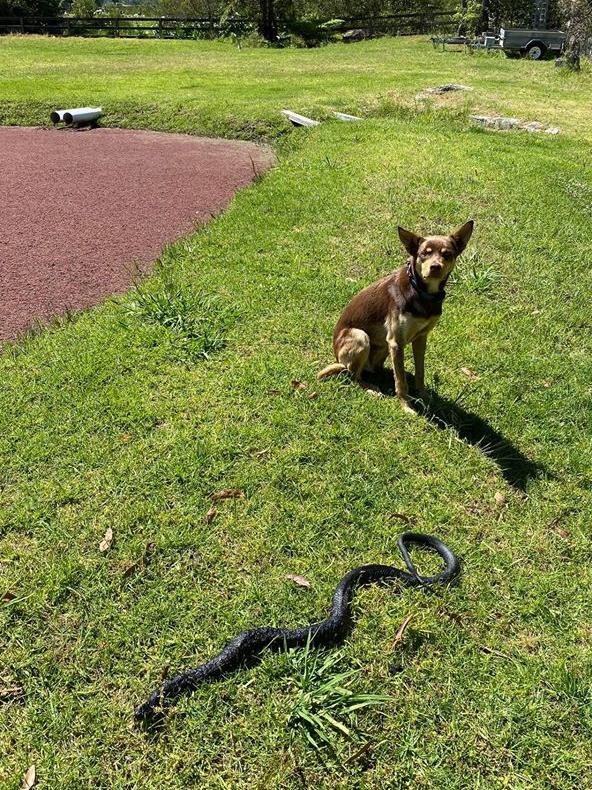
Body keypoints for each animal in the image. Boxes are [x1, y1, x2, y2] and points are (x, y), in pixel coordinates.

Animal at [316, 220, 474, 412]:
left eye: (447, 254)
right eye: (424, 253)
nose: (435, 267)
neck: (421, 292)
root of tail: (338, 358)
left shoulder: (421, 338)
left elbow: (420, 372)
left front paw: (424, 396)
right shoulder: (396, 342)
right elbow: (401, 382)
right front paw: (406, 406)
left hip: (383, 346)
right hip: (361, 337)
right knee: (354, 376)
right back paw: (372, 388)